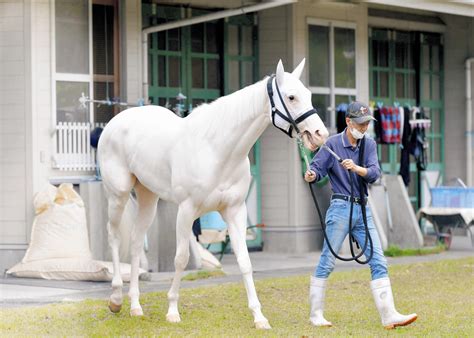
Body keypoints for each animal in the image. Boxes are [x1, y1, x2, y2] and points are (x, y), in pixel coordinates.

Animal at [98, 59, 328, 328]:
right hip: (119, 194)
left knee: (135, 243)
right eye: (291, 97)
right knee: (114, 236)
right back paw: (115, 299)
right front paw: (172, 310)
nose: (320, 134)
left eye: (309, 95)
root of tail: (116, 122)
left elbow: (244, 261)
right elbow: (181, 258)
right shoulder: (186, 211)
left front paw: (259, 317)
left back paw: (135, 306)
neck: (216, 149)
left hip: (148, 198)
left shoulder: (235, 211)